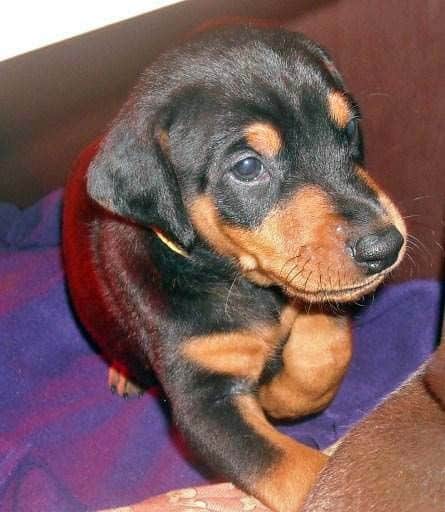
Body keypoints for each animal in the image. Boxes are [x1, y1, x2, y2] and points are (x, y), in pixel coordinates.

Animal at [62, 26, 406, 510]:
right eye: (247, 167)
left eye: (350, 128)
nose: (386, 246)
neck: (234, 279)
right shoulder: (205, 400)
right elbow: (292, 469)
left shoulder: (315, 294)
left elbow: (326, 348)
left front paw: (279, 395)